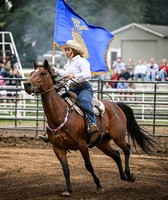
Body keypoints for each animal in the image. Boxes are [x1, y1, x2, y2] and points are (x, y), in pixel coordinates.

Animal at [23, 60, 155, 196]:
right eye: (32, 73)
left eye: (43, 73)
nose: (27, 84)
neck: (60, 114)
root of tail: (116, 106)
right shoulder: (58, 148)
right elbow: (65, 169)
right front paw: (68, 190)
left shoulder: (82, 145)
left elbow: (89, 166)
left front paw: (99, 185)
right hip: (102, 142)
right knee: (116, 154)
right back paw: (123, 176)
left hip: (118, 137)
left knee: (127, 149)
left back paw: (129, 175)